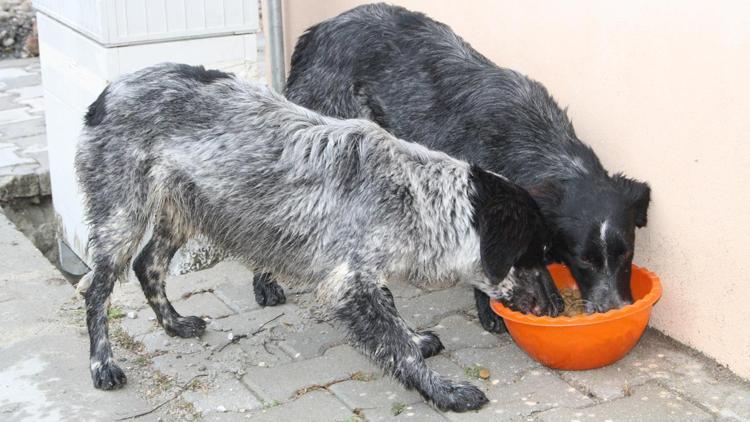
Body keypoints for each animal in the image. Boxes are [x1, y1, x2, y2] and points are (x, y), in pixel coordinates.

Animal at [78, 63, 560, 412]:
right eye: (533, 254)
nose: (555, 308)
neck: (411, 190)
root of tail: (106, 94)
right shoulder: (350, 280)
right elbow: (400, 348)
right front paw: (444, 392)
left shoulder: (363, 272)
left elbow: (395, 318)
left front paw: (419, 341)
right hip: (123, 215)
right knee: (97, 289)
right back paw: (103, 365)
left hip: (182, 210)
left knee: (149, 264)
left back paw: (175, 324)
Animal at [276, 4, 652, 332]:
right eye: (584, 260)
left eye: (627, 254)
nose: (615, 309)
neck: (540, 144)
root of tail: (315, 31)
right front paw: (496, 310)